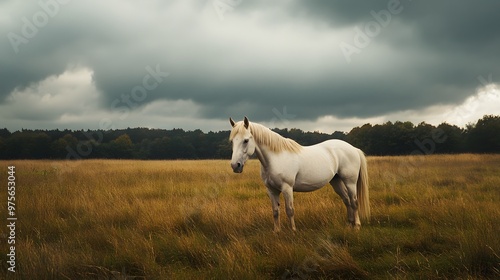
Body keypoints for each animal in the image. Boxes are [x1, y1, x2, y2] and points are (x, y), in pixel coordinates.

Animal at [229, 116, 370, 232]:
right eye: (232, 141)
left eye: (246, 140)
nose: (235, 166)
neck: (275, 158)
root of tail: (353, 149)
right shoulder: (271, 190)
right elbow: (275, 211)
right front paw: (277, 232)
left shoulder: (287, 188)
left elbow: (290, 210)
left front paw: (293, 231)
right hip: (336, 181)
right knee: (346, 200)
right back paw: (349, 224)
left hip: (350, 182)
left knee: (354, 201)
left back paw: (357, 226)